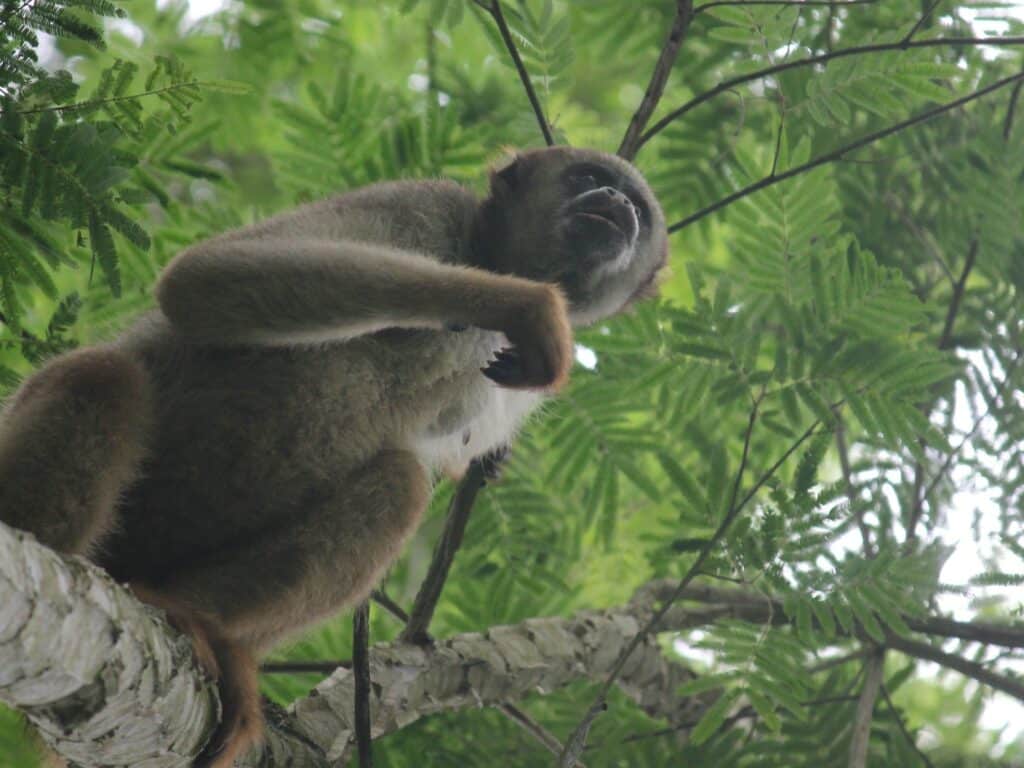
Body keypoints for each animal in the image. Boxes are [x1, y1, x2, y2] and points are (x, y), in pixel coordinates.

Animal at [0, 146, 668, 767]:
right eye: (587, 176)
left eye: (636, 201)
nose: (619, 202)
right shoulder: (427, 203)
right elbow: (204, 280)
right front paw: (523, 304)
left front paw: (486, 462)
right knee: (101, 376)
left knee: (401, 483)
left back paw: (203, 625)